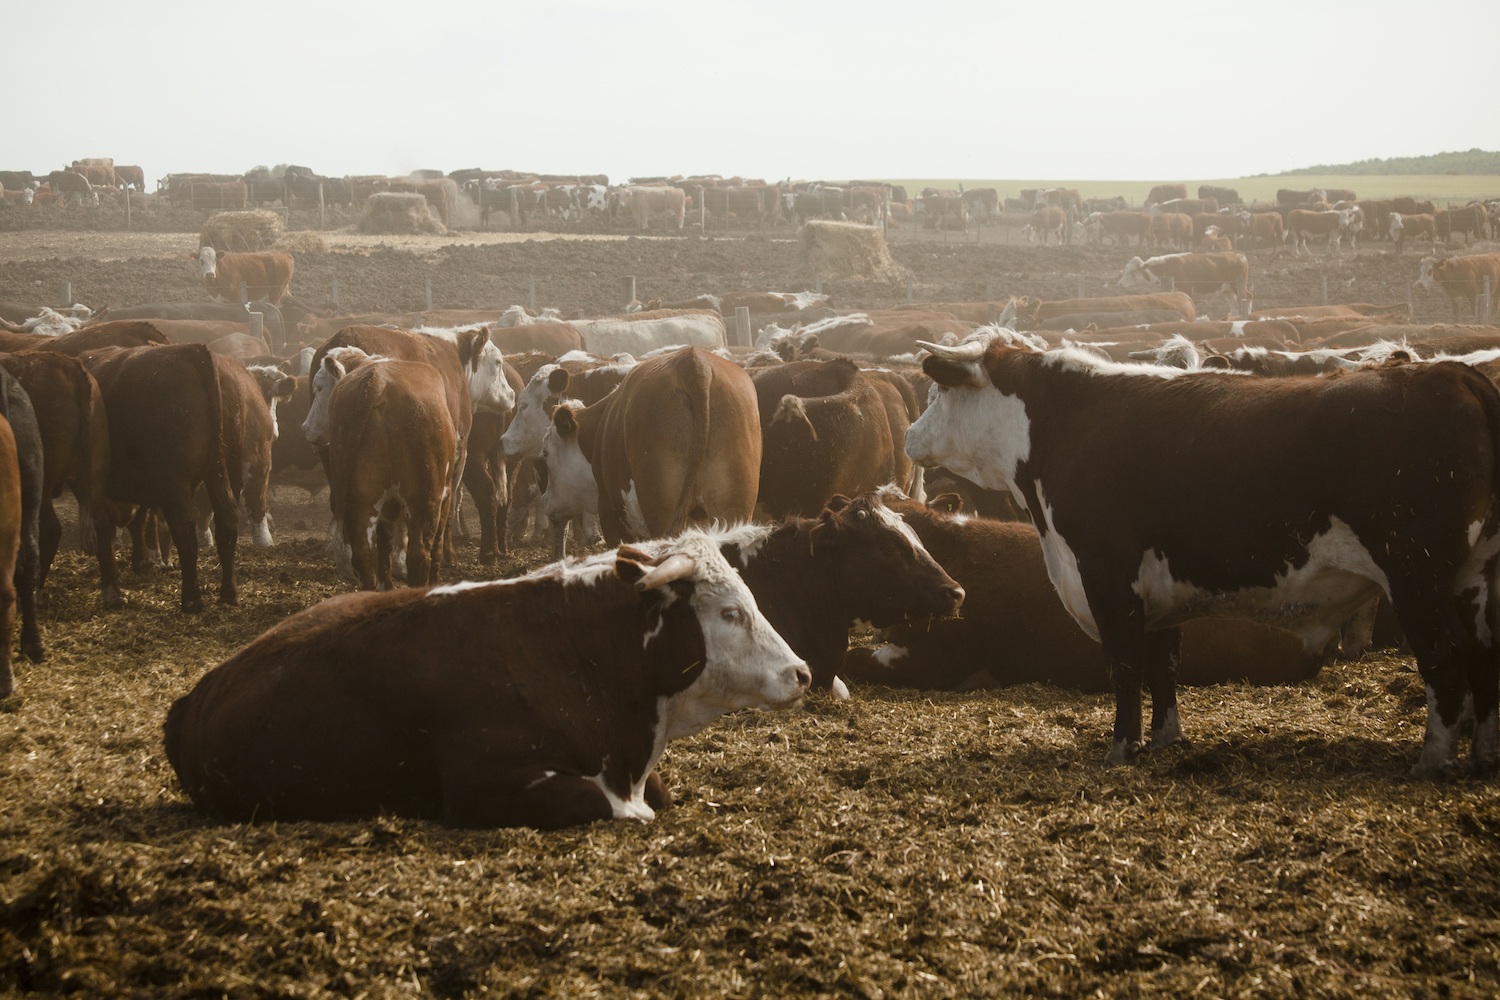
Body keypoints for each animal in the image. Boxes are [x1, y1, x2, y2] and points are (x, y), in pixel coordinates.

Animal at [543, 347, 762, 551]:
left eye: (545, 453)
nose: (546, 500)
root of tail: (694, 364)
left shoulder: (610, 515)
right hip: (733, 509)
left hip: (662, 512)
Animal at [900, 328, 1500, 773]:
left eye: (937, 394)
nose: (908, 437)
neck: (1062, 423)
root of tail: (1454, 374)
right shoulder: (1157, 586)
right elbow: (1163, 664)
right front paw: (1165, 739)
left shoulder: (1106, 572)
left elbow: (1125, 665)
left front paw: (1121, 749)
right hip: (1474, 577)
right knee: (1483, 652)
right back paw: (1482, 755)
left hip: (1416, 573)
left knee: (1445, 654)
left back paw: (1433, 759)